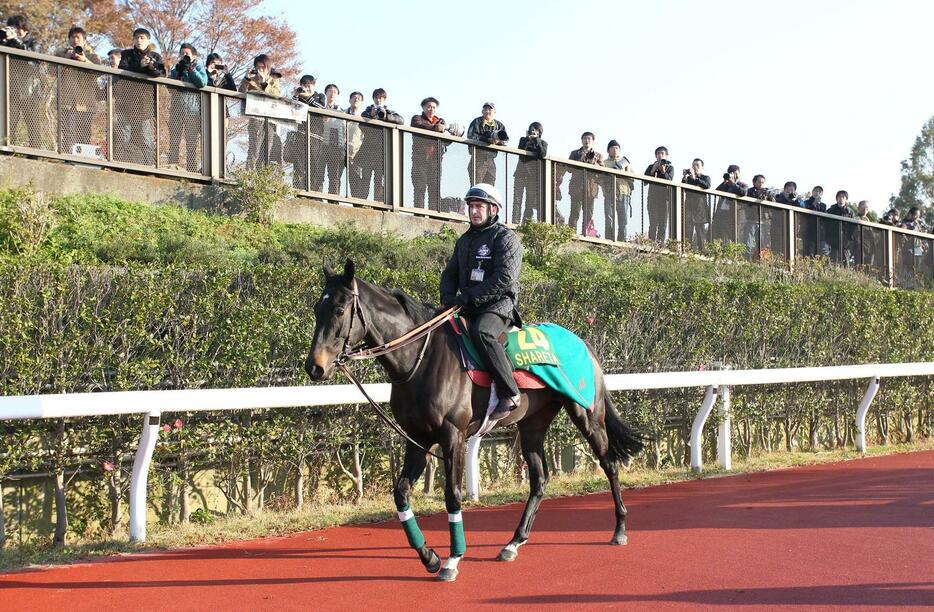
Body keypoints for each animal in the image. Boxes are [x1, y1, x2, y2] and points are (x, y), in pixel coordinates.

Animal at [308, 260, 644, 584]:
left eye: (339, 310)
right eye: (316, 308)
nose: (315, 367)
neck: (421, 359)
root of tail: (583, 342)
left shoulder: (453, 436)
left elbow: (452, 495)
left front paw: (453, 560)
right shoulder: (417, 438)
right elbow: (401, 493)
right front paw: (429, 557)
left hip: (586, 413)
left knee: (609, 463)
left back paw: (620, 529)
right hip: (532, 424)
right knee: (539, 479)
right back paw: (514, 542)